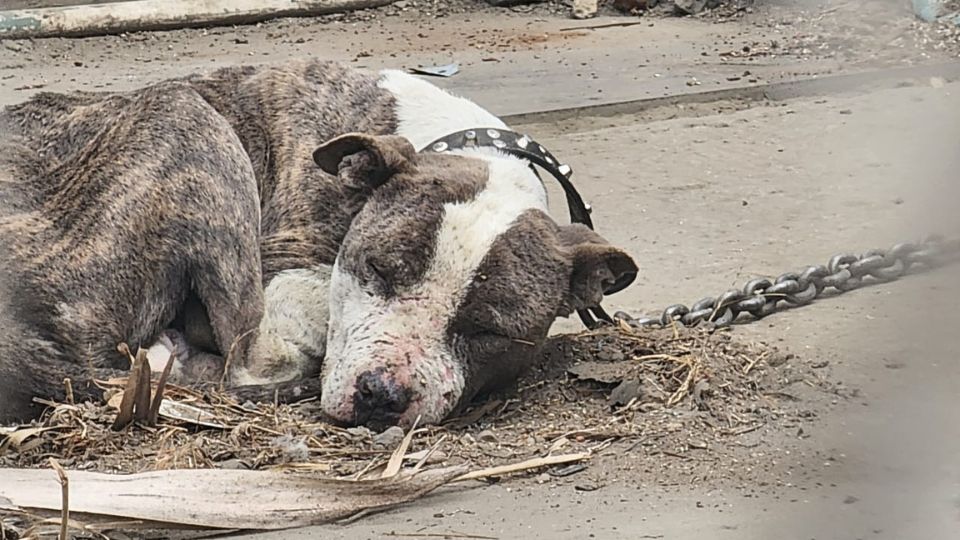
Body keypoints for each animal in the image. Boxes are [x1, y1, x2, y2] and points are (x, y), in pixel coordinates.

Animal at [0, 60, 636, 430]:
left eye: (489, 331)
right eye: (376, 268)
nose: (383, 393)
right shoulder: (282, 259)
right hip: (188, 118)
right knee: (245, 358)